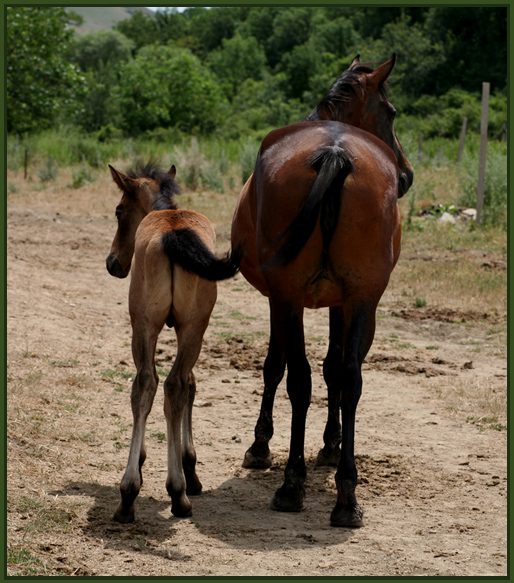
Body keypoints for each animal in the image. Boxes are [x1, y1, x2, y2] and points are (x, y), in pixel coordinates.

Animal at [106, 162, 238, 524]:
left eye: (119, 211)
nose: (112, 263)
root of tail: (172, 234)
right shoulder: (188, 329)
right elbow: (187, 385)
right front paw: (187, 469)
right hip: (188, 326)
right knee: (170, 384)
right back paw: (168, 493)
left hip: (147, 324)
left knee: (150, 384)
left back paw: (138, 493)